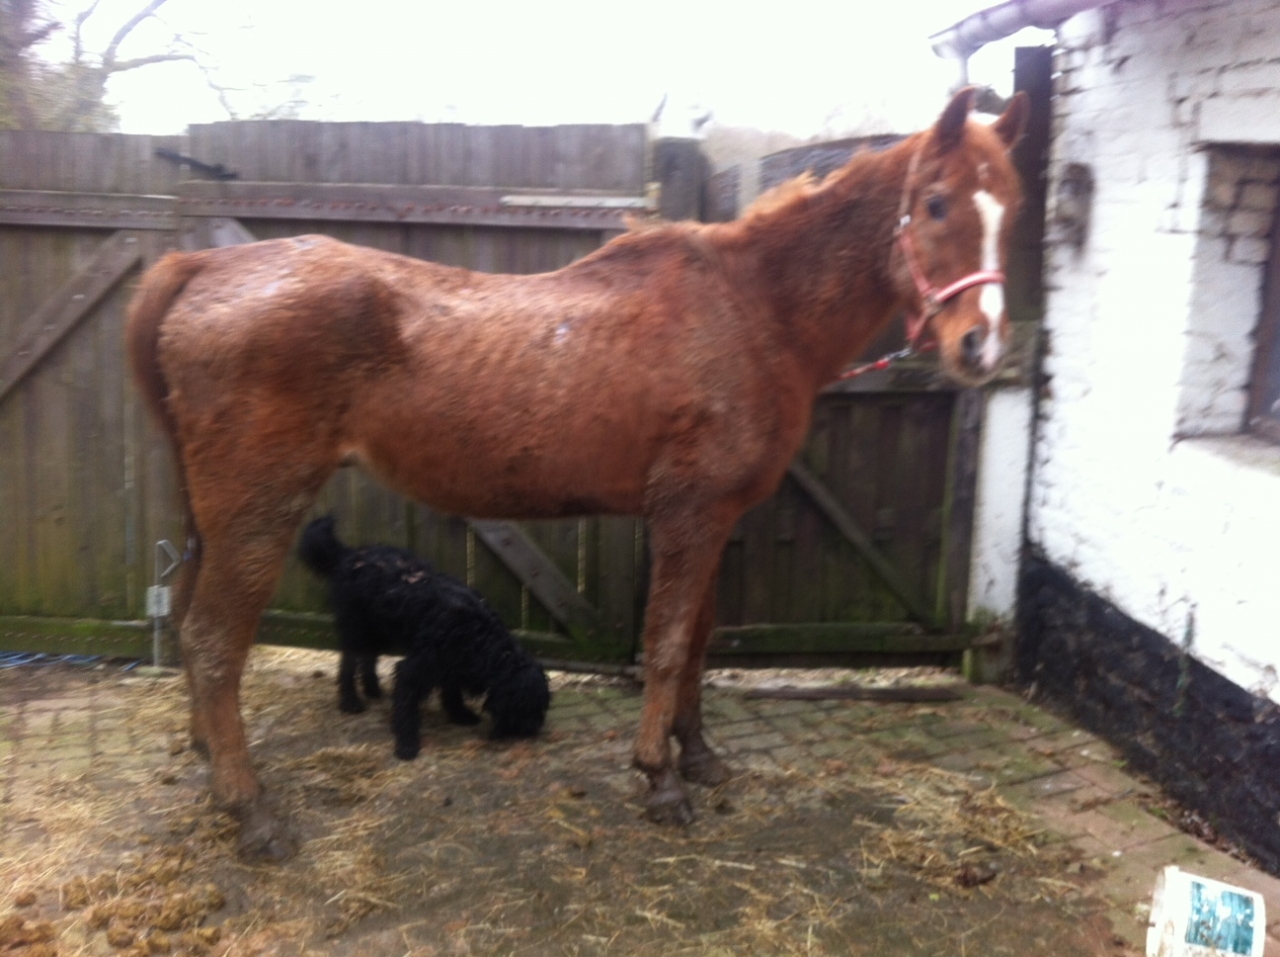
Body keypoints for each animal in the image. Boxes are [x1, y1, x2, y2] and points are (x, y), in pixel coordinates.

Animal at [298, 515, 551, 759]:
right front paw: (407, 745)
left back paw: (373, 689)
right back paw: (350, 701)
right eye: (527, 707)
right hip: (356, 630)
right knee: (348, 665)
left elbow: (451, 692)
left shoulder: (452, 665)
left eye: (542, 706)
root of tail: (351, 554)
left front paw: (460, 714)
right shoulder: (415, 669)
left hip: (380, 629)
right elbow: (407, 709)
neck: (481, 640)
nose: (533, 730)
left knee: (369, 659)